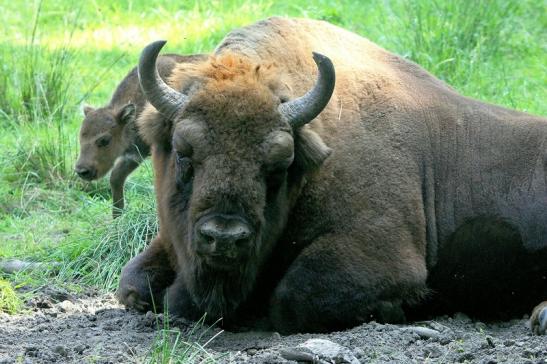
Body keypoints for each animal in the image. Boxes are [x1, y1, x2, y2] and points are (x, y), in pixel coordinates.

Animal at [75, 53, 206, 218]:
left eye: (105, 140)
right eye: (81, 137)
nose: (82, 171)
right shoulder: (135, 153)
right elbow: (116, 177)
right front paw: (117, 217)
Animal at [119, 18, 547, 334]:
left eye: (279, 164)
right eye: (183, 152)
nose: (224, 237)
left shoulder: (383, 255)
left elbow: (291, 299)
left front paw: (397, 310)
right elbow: (132, 284)